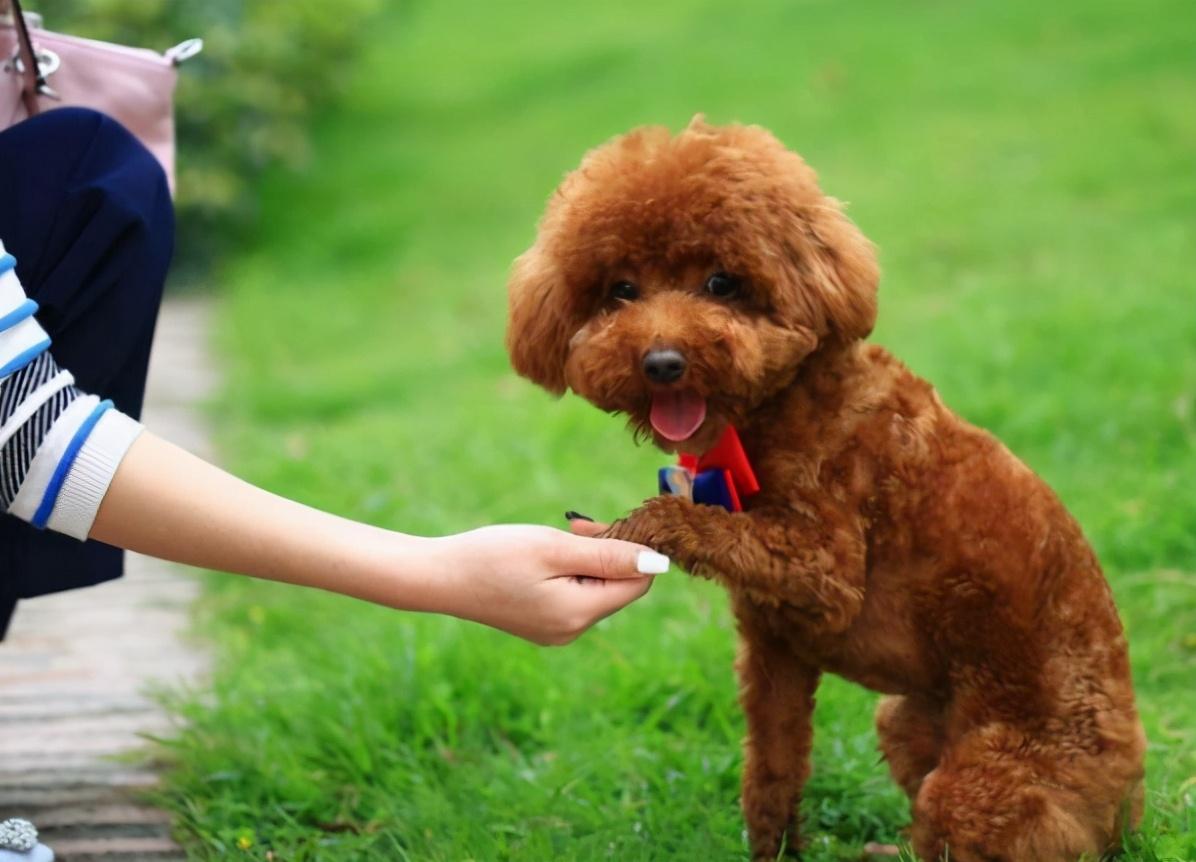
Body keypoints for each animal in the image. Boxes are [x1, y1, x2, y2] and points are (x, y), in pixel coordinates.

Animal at [502, 117, 1138, 856]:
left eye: (722, 282)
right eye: (621, 291)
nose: (662, 362)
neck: (781, 407)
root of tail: (1128, 809)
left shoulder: (826, 573)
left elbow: (701, 524)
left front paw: (633, 527)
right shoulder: (773, 649)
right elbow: (771, 774)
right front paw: (775, 850)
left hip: (987, 784)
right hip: (905, 721)